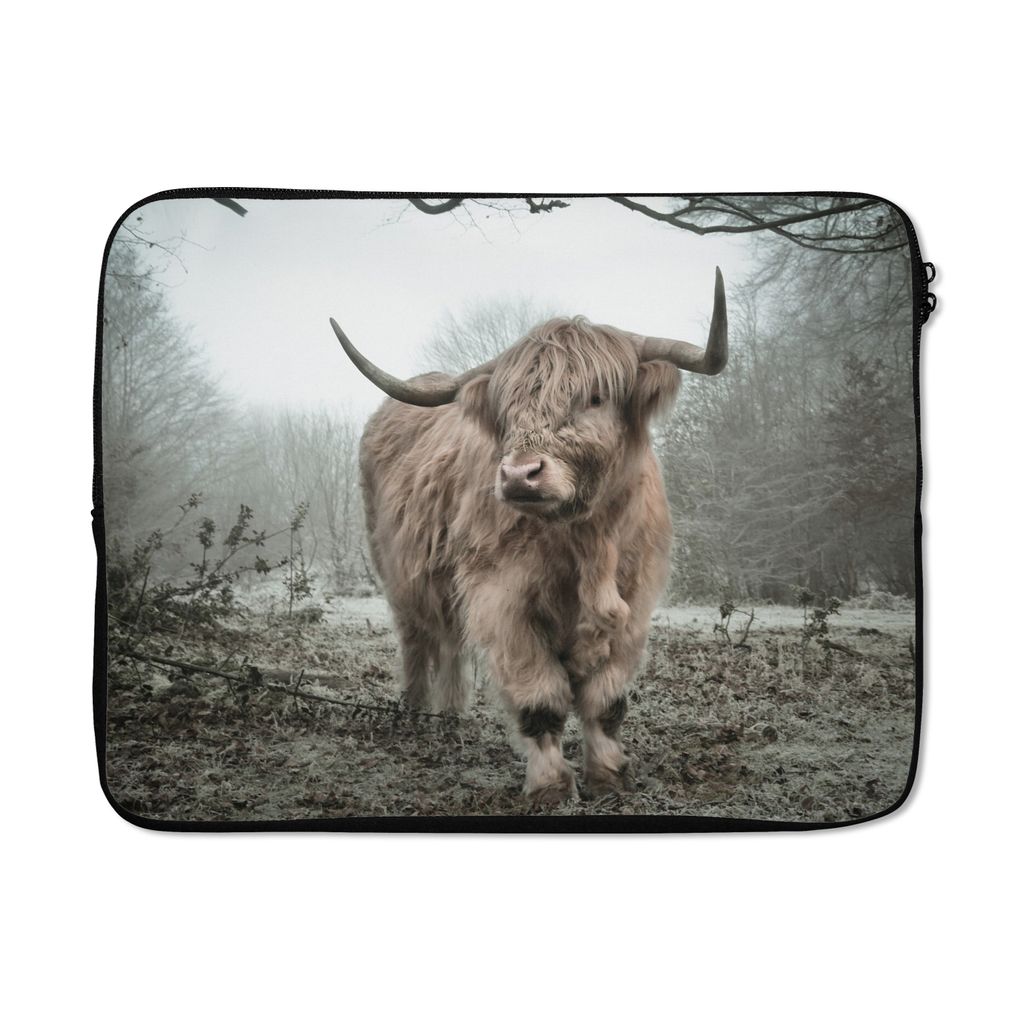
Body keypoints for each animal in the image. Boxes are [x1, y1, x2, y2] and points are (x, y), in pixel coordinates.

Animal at [330, 269, 728, 805]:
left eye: (596, 397)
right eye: (508, 407)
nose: (520, 475)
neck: (587, 543)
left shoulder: (635, 602)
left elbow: (606, 702)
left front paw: (609, 776)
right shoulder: (502, 601)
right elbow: (541, 700)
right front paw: (551, 787)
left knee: (450, 644)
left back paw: (450, 716)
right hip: (398, 575)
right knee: (418, 641)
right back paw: (415, 714)